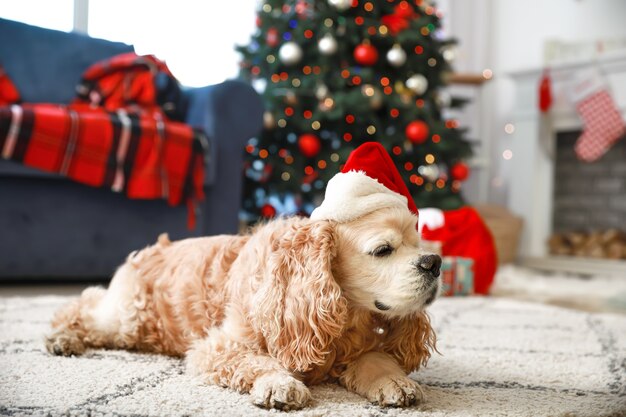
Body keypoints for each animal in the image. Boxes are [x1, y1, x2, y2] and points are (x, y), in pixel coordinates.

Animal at [46, 151, 442, 408]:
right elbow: (258, 362)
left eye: (417, 243)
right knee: (81, 307)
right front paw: (281, 384)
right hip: (128, 319)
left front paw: (396, 382)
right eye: (383, 250)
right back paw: (61, 338)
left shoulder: (359, 346)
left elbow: (378, 361)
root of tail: (149, 249)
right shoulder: (220, 347)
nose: (434, 262)